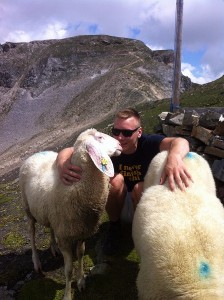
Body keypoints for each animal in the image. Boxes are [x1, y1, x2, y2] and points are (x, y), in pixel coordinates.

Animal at [18, 128, 121, 300]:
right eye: (99, 137)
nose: (120, 144)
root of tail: (36, 153)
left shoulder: (82, 231)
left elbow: (80, 254)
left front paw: (81, 281)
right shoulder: (66, 238)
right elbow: (68, 270)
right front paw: (67, 294)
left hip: (51, 214)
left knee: (50, 227)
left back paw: (53, 247)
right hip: (28, 208)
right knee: (31, 233)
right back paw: (36, 262)